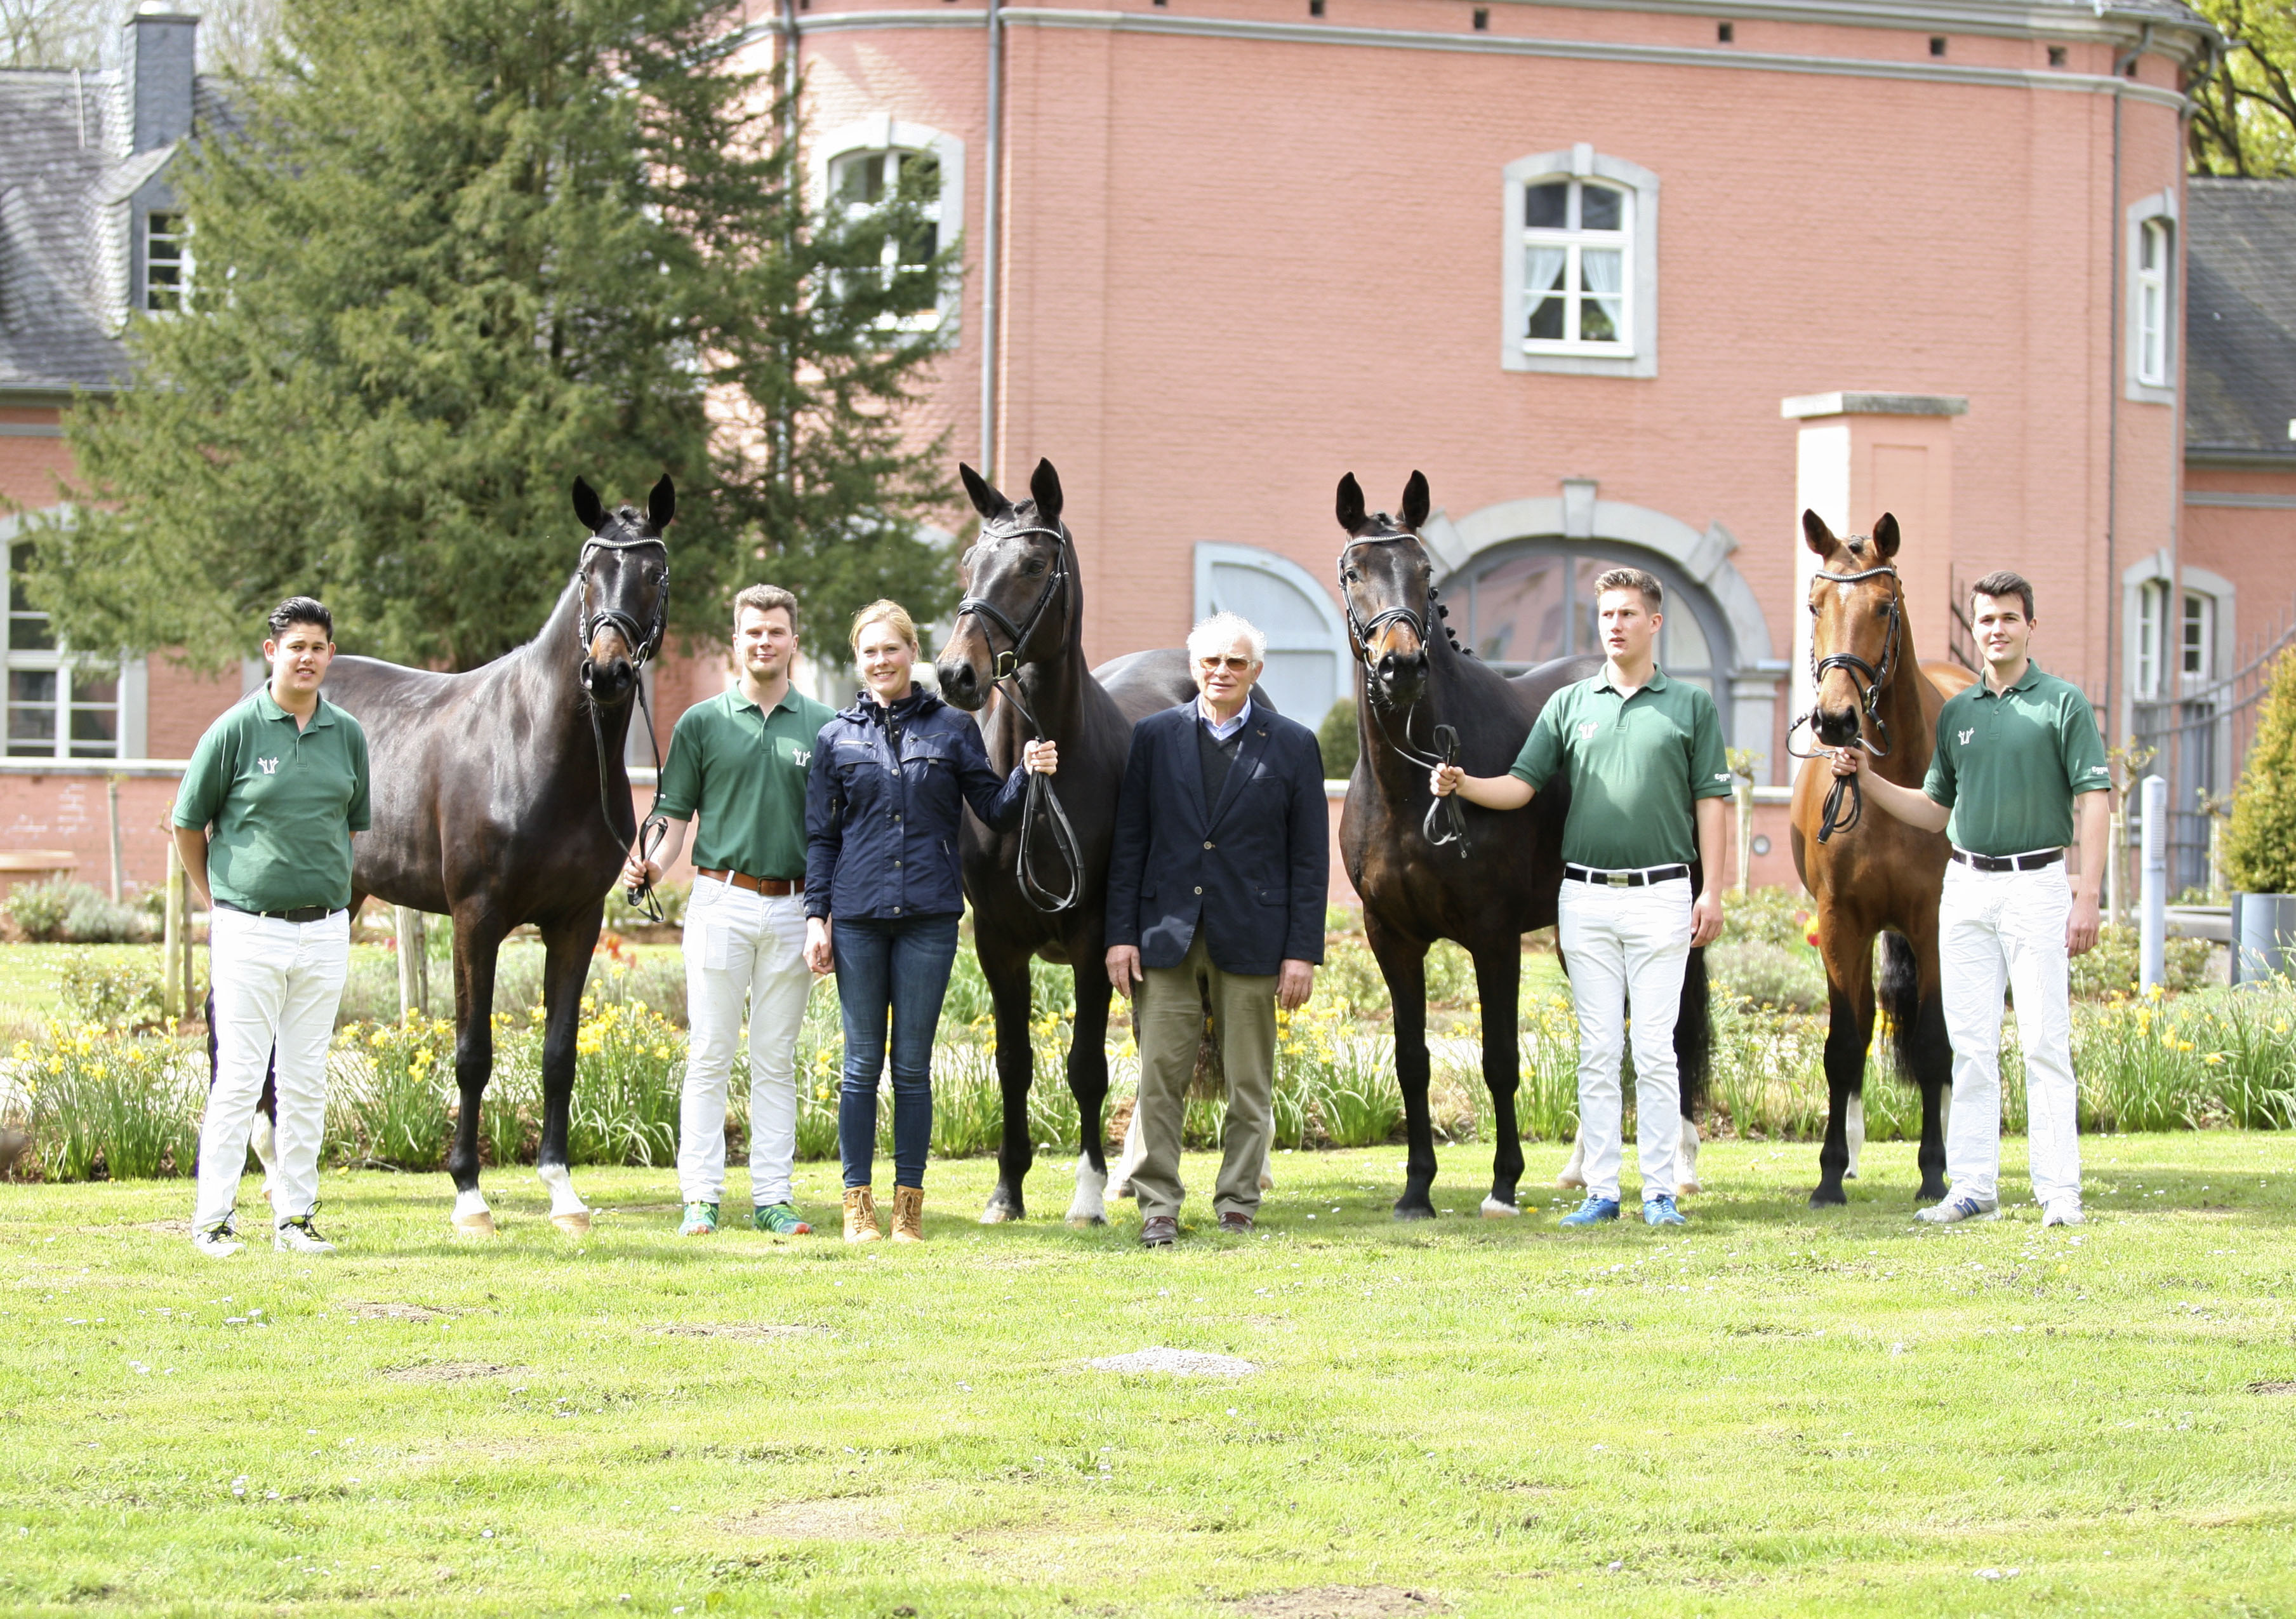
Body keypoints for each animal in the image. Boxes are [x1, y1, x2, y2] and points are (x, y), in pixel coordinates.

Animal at [321, 473, 670, 1230]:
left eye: (654, 575)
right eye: (587, 574)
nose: (607, 673)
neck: (536, 747)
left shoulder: (576, 923)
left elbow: (559, 1054)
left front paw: (563, 1192)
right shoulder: (474, 920)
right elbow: (472, 1054)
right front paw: (468, 1191)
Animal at [1781, 512, 1965, 1203]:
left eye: (1884, 606)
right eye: (1814, 604)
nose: (1835, 720)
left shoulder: (1932, 924)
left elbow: (1935, 1045)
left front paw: (1934, 1171)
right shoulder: (1840, 923)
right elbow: (1844, 1043)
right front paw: (1829, 1174)